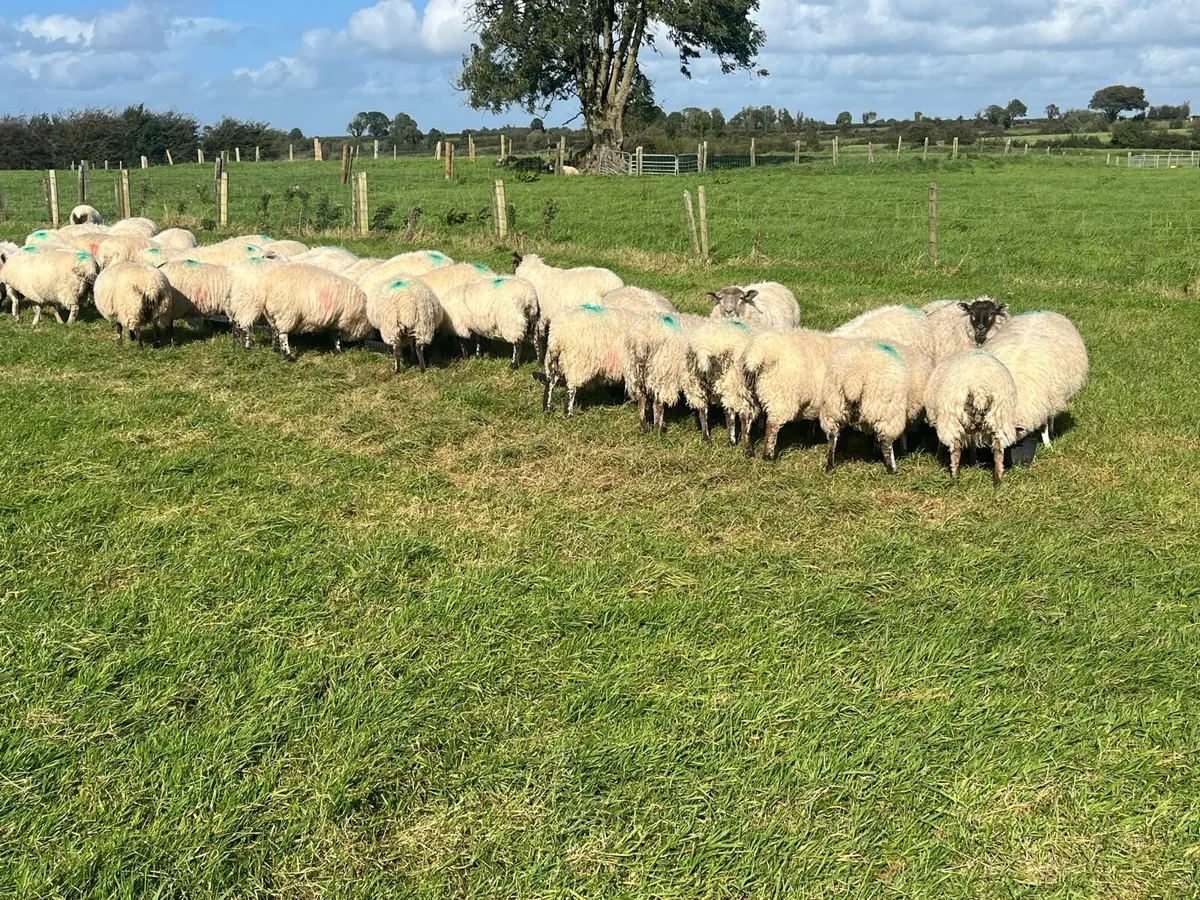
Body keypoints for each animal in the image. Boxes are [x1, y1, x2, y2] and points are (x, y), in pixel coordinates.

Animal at [688, 317, 763, 449]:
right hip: (738, 384)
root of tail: (705, 349)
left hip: (697, 385)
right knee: (741, 417)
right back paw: (741, 445)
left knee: (704, 411)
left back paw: (707, 439)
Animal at [742, 327, 841, 460]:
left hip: (747, 394)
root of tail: (759, 352)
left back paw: (748, 451)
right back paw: (768, 456)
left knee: (745, 420)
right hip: (782, 396)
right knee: (772, 426)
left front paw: (809, 440)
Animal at [819, 340, 933, 475]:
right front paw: (904, 451)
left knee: (832, 437)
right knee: (886, 443)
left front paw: (875, 450)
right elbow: (903, 434)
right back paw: (892, 469)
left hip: (833, 405)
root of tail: (854, 376)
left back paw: (830, 466)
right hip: (885, 409)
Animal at [924, 350, 1019, 485]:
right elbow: (973, 442)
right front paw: (973, 461)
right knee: (998, 450)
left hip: (952, 420)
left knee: (955, 449)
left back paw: (955, 477)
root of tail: (980, 390)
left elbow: (941, 443)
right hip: (1000, 418)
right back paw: (997, 480)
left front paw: (938, 458)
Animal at [984, 312, 1088, 447]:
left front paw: (1048, 445)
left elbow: (1043, 426)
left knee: (1051, 415)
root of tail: (1044, 312)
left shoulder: (1041, 404)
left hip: (1054, 395)